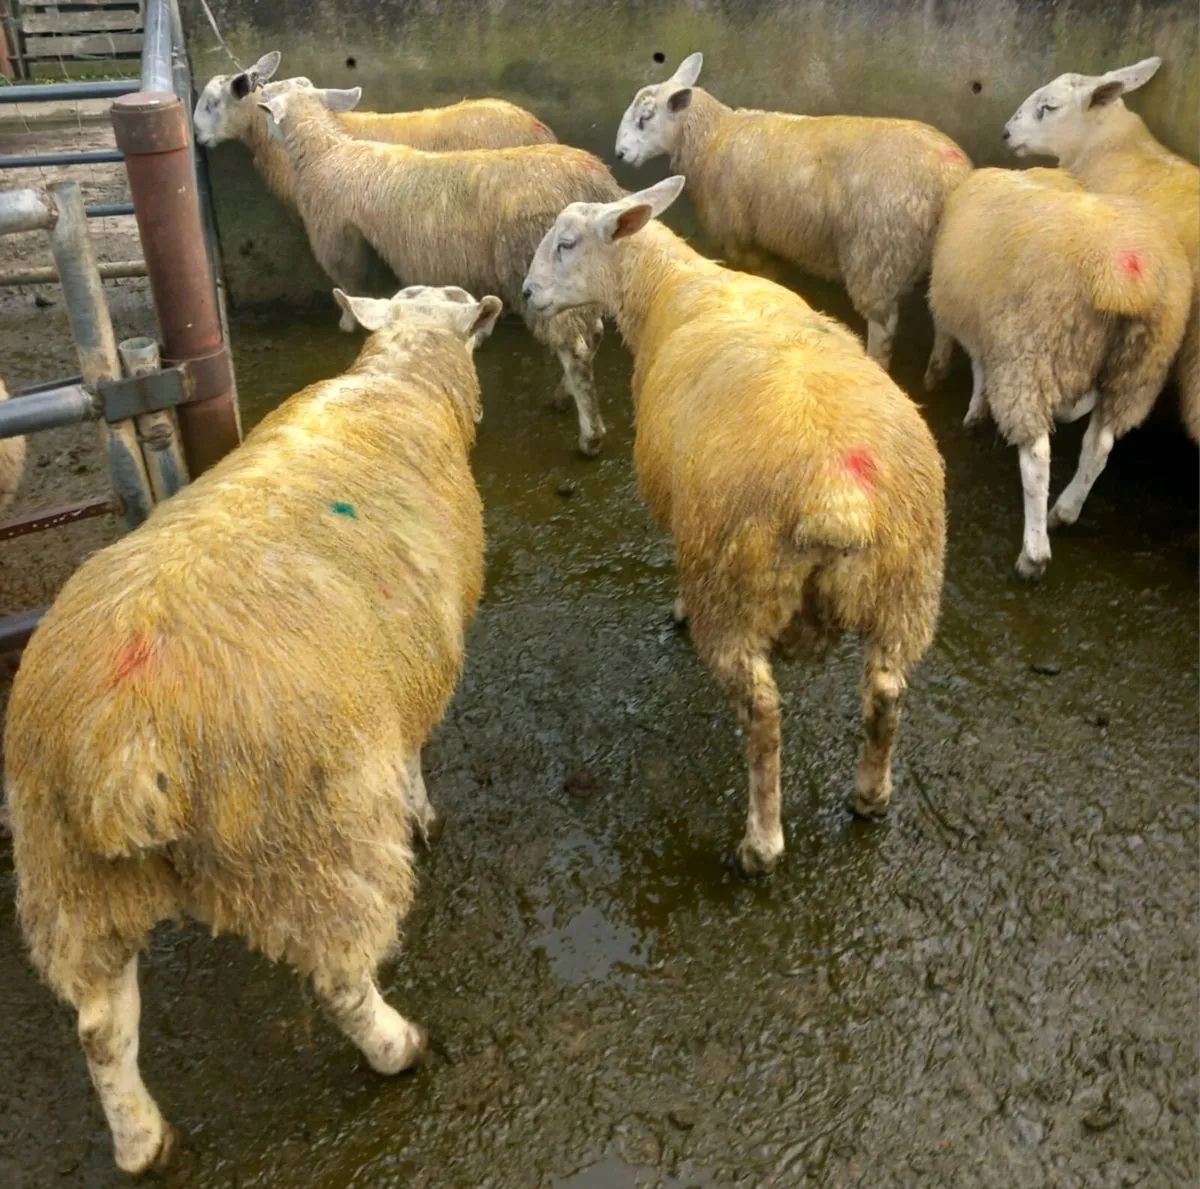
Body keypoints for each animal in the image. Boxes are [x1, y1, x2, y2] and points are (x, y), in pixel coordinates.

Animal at [3, 283, 502, 1174]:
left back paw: (143, 1141)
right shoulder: (416, 664)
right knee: (339, 974)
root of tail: (123, 743)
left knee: (100, 1026)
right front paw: (423, 817)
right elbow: (412, 754)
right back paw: (398, 1043)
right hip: (310, 835)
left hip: (71, 878)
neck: (396, 381)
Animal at [258, 77, 624, 456]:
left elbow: (351, 286)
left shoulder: (337, 241)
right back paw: (564, 395)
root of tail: (598, 184)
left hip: (536, 266)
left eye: (265, 106)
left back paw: (590, 435)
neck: (326, 153)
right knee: (593, 332)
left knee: (575, 348)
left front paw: (348, 322)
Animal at [522, 176, 946, 876]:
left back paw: (760, 844)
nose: (526, 295)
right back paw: (870, 796)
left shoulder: (683, 514)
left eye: (567, 242)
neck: (670, 284)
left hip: (736, 587)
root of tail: (837, 495)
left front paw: (674, 608)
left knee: (763, 715)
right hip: (907, 588)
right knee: (887, 693)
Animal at [613, 52, 973, 375]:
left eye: (645, 118)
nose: (619, 154)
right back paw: (936, 371)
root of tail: (951, 176)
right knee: (943, 314)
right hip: (939, 256)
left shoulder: (740, 238)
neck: (713, 138)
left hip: (879, 254)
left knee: (884, 327)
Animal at [927, 167, 1192, 579]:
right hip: (1139, 370)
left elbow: (978, 368)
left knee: (1037, 457)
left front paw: (975, 412)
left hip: (1031, 353)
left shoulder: (988, 332)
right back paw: (1065, 511)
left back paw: (1034, 555)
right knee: (1100, 444)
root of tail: (1123, 273)